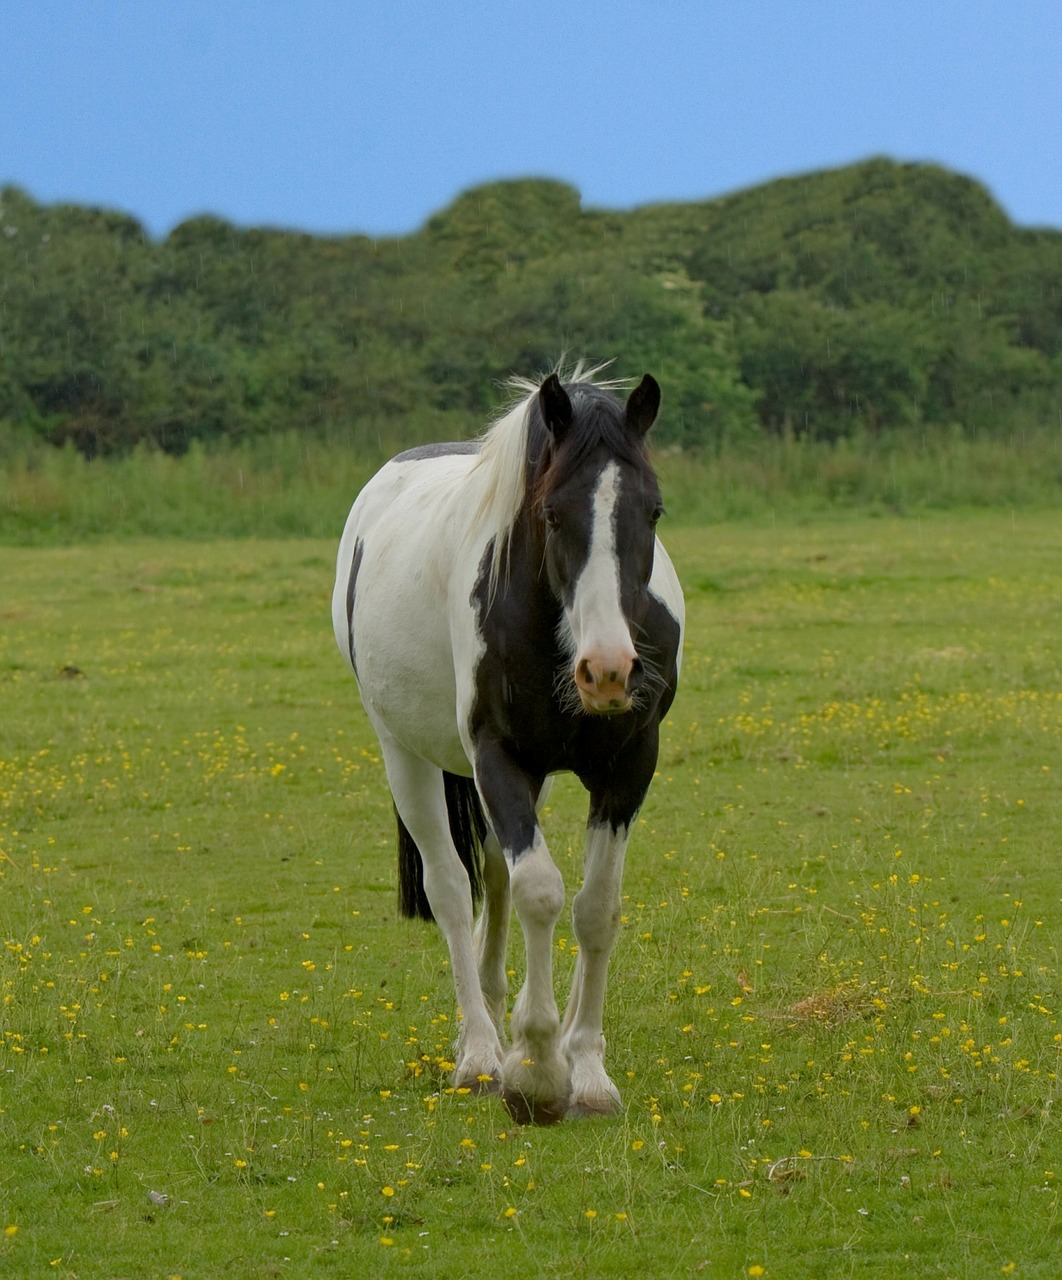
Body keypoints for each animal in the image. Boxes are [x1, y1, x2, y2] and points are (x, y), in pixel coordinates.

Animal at [327, 363, 685, 1121]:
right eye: (551, 516)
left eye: (653, 512)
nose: (608, 670)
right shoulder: (499, 759)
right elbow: (541, 892)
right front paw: (536, 1069)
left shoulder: (627, 767)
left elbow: (596, 909)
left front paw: (587, 1071)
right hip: (406, 755)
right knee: (453, 887)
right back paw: (481, 1053)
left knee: (492, 873)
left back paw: (494, 1014)